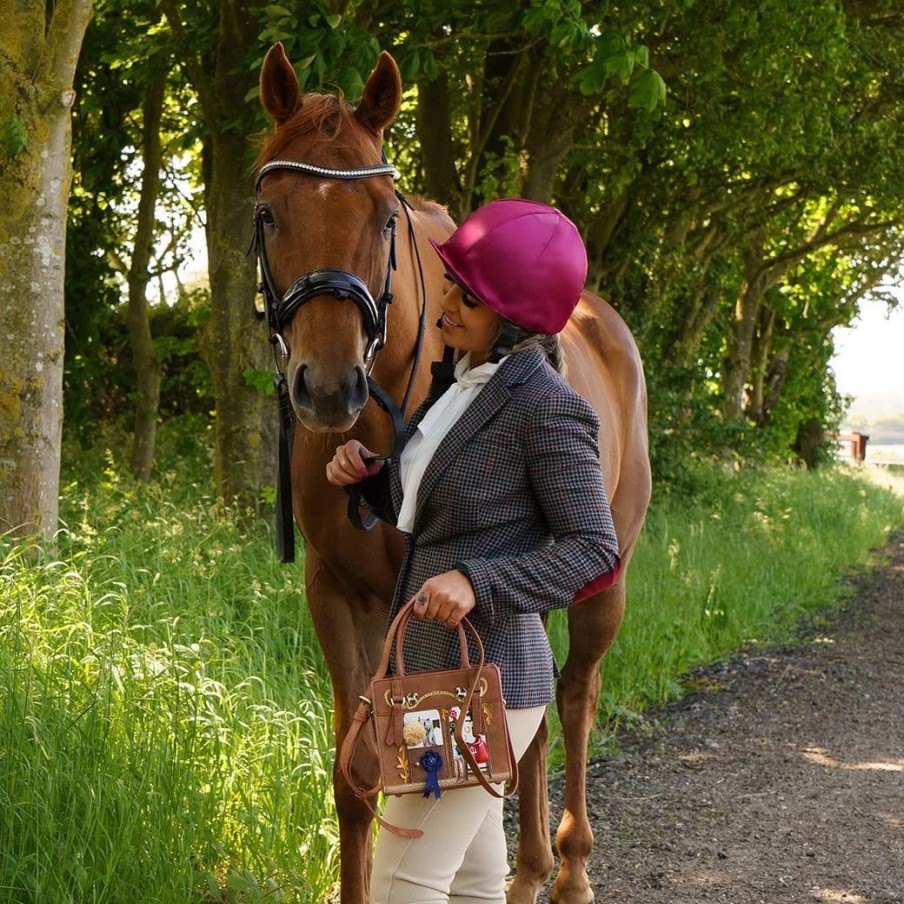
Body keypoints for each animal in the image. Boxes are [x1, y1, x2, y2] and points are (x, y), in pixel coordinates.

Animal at [254, 42, 648, 904]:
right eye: (268, 213)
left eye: (382, 217)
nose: (327, 386)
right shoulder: (340, 594)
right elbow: (357, 778)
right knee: (533, 722)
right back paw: (527, 869)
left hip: (606, 577)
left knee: (574, 696)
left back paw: (569, 865)